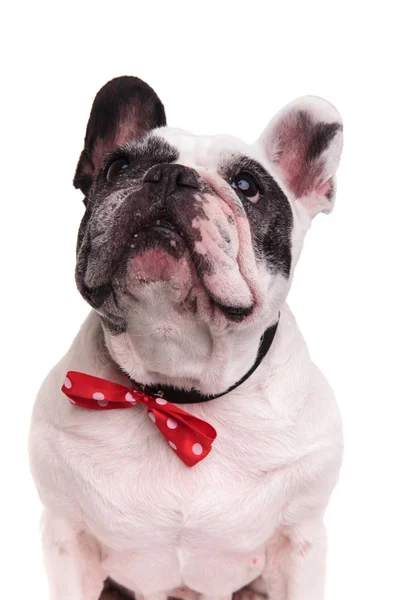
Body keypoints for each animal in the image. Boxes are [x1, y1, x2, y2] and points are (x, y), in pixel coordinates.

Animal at [30, 76, 344, 600]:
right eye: (118, 166)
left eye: (247, 186)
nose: (171, 175)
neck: (178, 393)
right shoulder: (66, 537)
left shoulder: (300, 541)